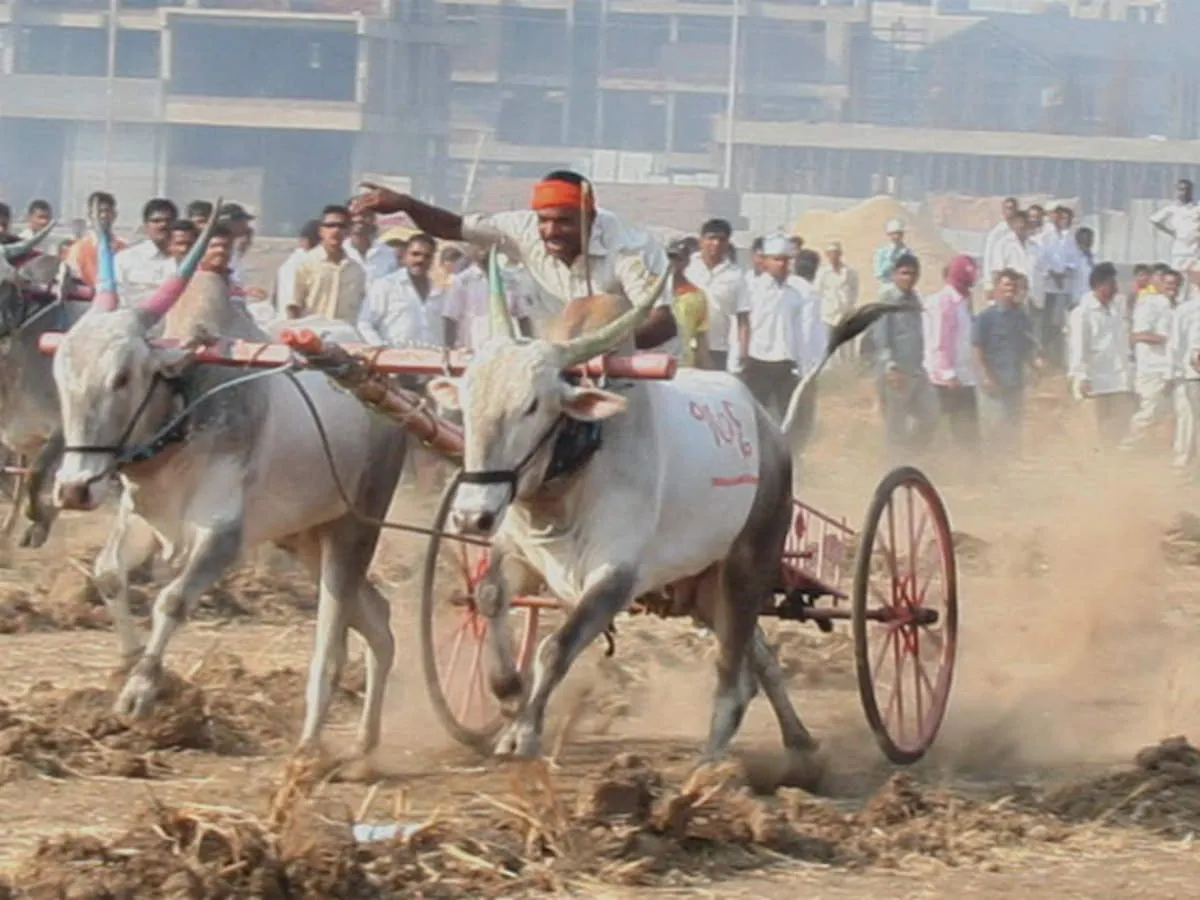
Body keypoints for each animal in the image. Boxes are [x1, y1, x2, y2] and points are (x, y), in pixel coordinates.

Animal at [49, 214, 408, 758]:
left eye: (122, 377)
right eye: (61, 373)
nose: (73, 488)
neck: (185, 412)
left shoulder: (221, 536)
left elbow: (172, 599)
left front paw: (140, 692)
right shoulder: (142, 519)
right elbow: (109, 573)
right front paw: (127, 666)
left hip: (355, 527)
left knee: (333, 644)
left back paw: (310, 747)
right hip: (306, 536)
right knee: (379, 622)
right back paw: (364, 749)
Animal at [427, 252, 888, 763]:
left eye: (531, 405)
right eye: (467, 399)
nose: (471, 515)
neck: (579, 461)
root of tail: (772, 431)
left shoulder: (614, 577)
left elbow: (555, 647)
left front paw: (523, 731)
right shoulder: (518, 553)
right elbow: (489, 597)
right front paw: (509, 693)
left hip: (749, 563)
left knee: (733, 675)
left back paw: (711, 762)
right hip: (705, 586)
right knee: (759, 656)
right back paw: (798, 738)